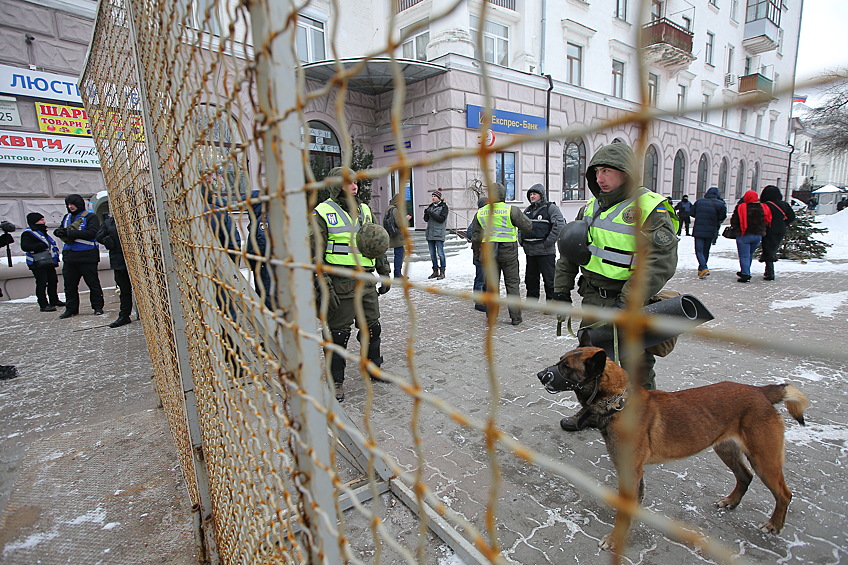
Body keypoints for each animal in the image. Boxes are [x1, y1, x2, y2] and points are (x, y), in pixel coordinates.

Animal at [536, 330, 808, 552]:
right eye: (560, 361)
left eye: (566, 367)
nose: (540, 374)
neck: (618, 403)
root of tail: (761, 392)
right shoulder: (634, 473)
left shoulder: (630, 472)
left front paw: (615, 539)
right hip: (726, 450)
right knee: (745, 476)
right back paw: (731, 501)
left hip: (764, 460)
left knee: (784, 493)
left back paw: (774, 524)